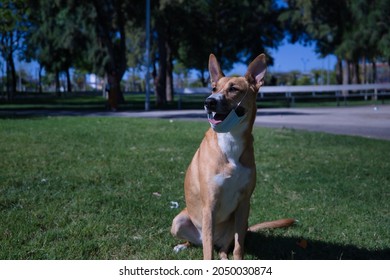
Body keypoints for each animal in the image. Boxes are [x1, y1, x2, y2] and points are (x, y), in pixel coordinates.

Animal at [170, 53, 292, 260]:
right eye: (213, 88)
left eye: (234, 89)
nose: (208, 102)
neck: (231, 139)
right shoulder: (209, 205)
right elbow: (207, 255)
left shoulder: (244, 204)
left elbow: (238, 247)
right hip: (179, 221)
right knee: (201, 243)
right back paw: (183, 245)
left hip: (236, 224)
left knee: (223, 248)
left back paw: (224, 256)